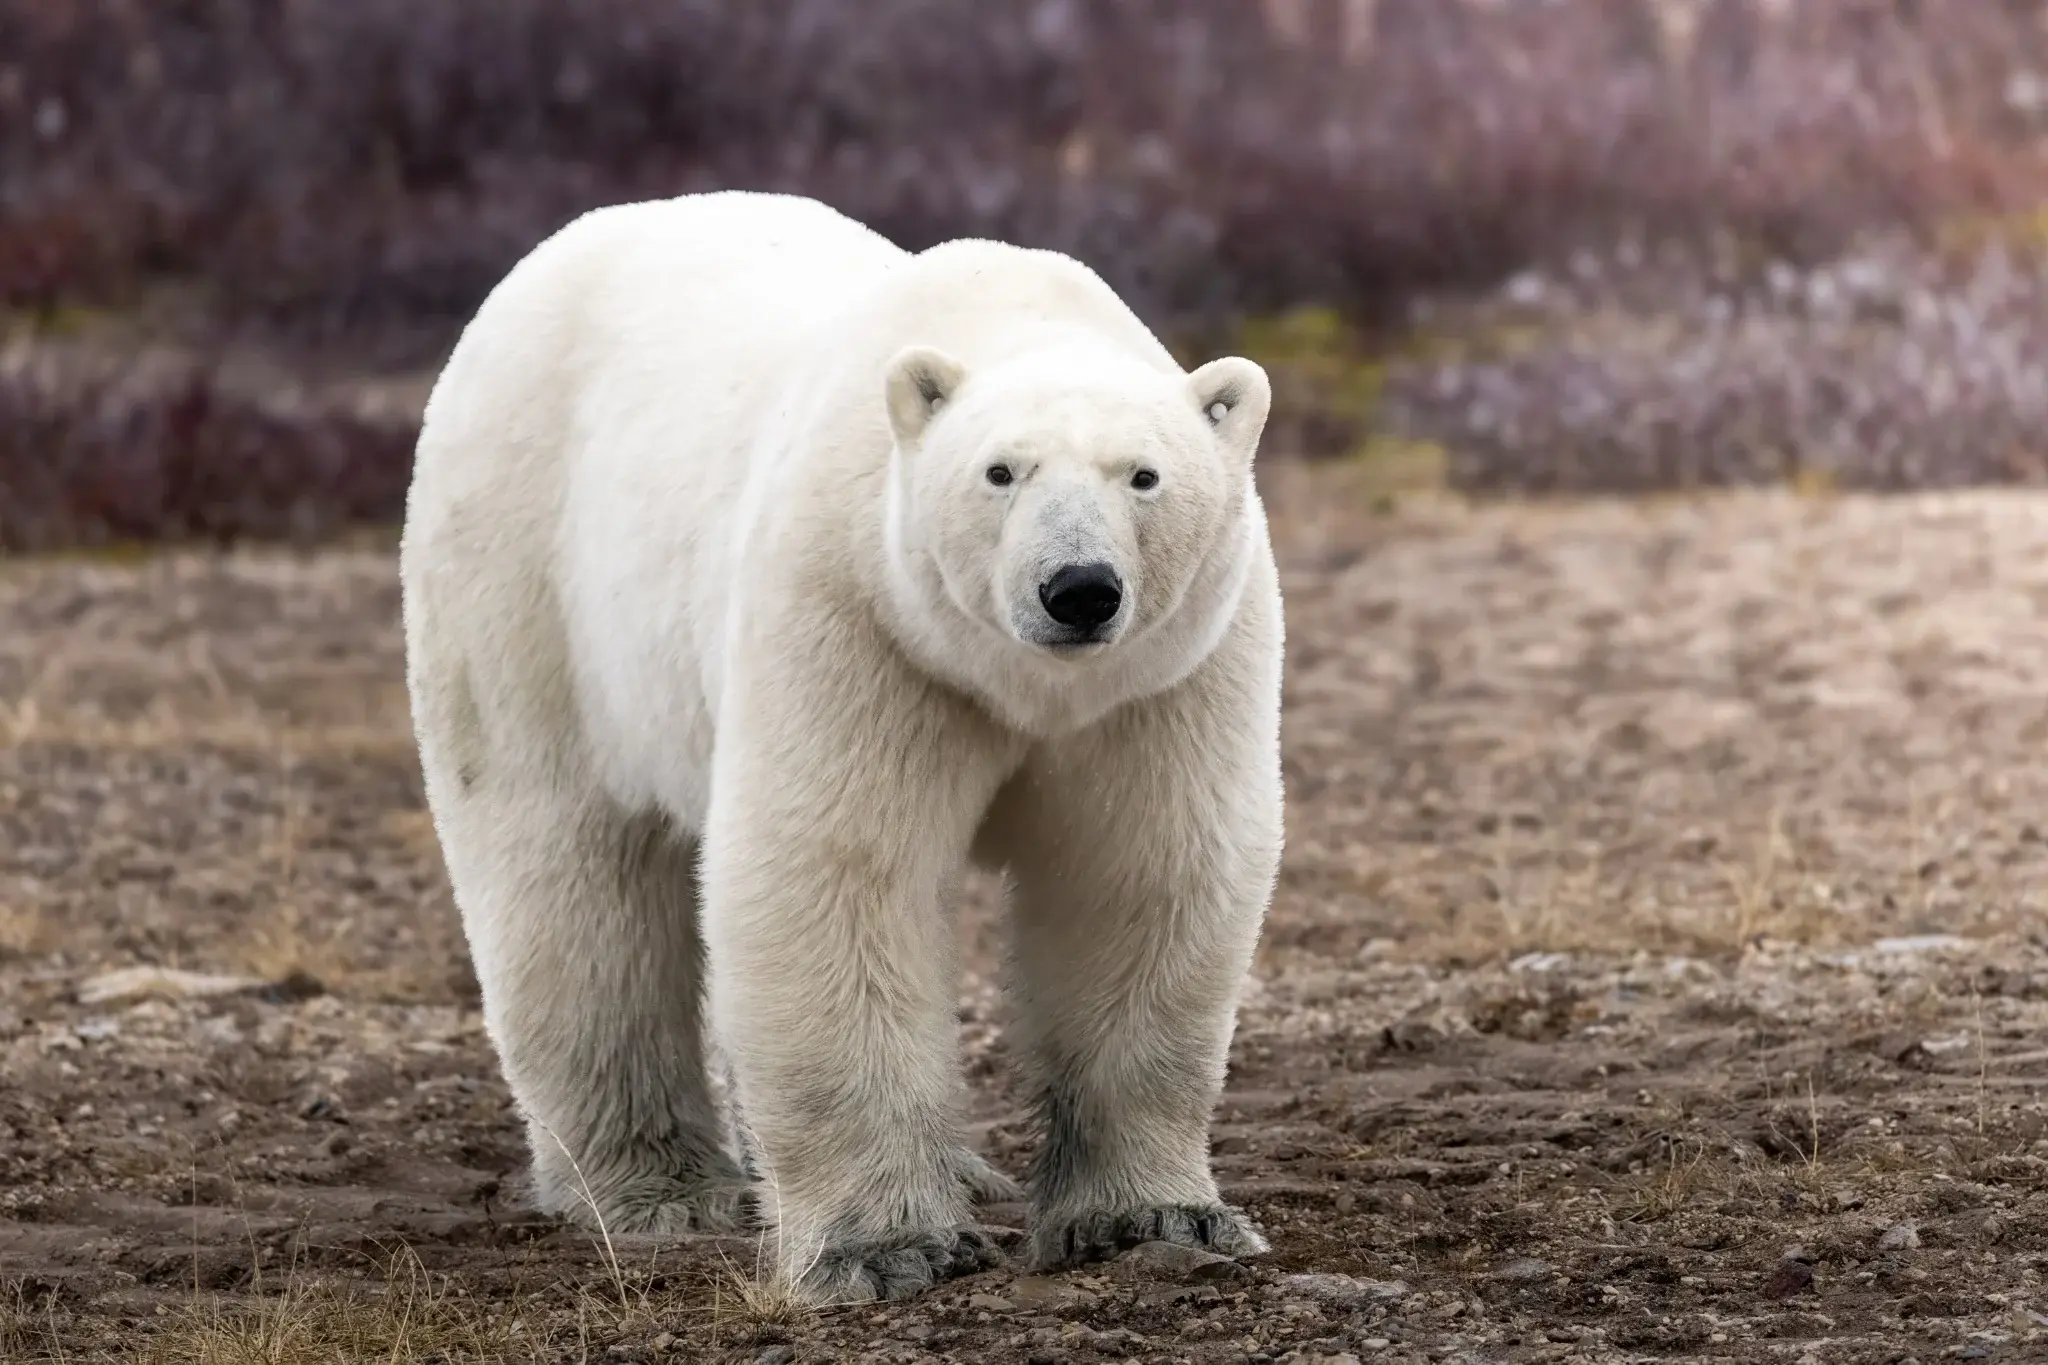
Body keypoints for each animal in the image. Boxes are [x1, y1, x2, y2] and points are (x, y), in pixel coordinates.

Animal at [399, 191, 1284, 1302]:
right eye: (1000, 471)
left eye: (1145, 476)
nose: (1077, 588)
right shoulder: (857, 612)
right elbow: (833, 870)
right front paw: (887, 1247)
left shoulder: (1166, 676)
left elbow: (1139, 875)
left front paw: (1155, 1217)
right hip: (525, 579)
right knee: (572, 874)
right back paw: (660, 1186)